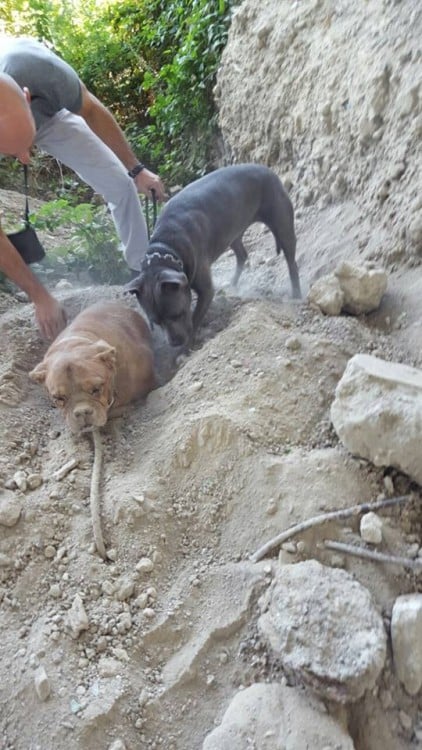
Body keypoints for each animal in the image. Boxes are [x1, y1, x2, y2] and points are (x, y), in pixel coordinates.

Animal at [125, 164, 300, 346]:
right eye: (155, 322)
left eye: (178, 314)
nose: (175, 343)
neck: (166, 248)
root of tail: (266, 169)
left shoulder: (206, 291)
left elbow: (195, 319)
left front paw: (187, 346)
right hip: (232, 233)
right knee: (242, 255)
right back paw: (232, 284)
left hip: (282, 224)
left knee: (291, 261)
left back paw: (296, 295)